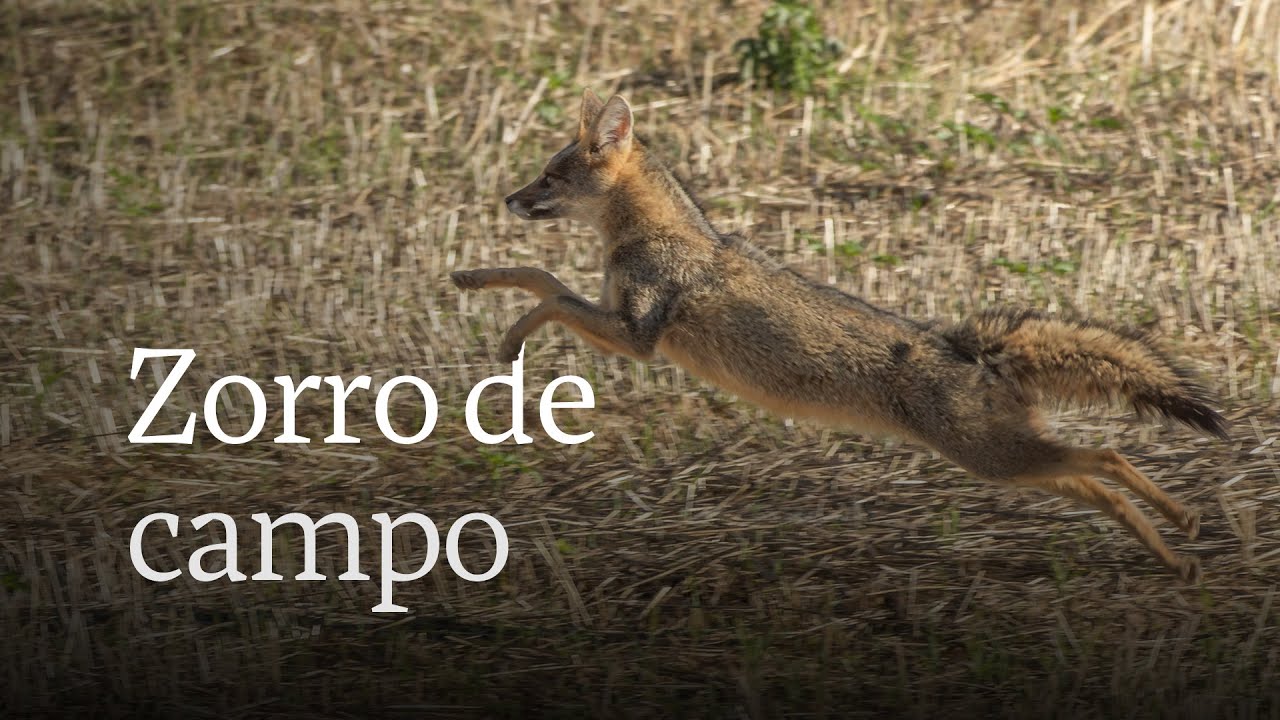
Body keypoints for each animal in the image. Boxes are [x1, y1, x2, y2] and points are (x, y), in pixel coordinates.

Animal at [451, 89, 1230, 582]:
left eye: (549, 177)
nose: (509, 199)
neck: (655, 234)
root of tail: (966, 345)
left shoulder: (638, 336)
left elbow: (550, 288)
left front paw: (510, 334)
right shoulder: (628, 329)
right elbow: (540, 275)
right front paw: (473, 277)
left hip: (997, 459)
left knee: (1108, 457)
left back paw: (1185, 530)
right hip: (1010, 464)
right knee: (1099, 481)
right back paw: (1178, 547)